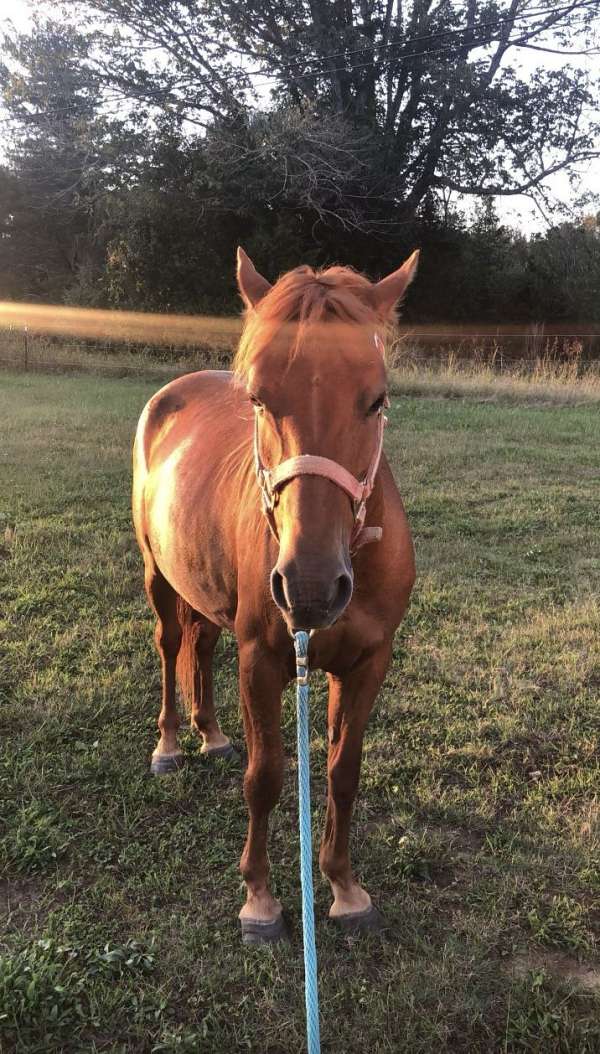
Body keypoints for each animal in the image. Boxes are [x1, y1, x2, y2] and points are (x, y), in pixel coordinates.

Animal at [132, 248, 415, 948]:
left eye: (377, 398)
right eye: (259, 398)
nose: (310, 587)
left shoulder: (367, 663)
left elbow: (343, 771)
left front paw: (343, 887)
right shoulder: (261, 660)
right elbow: (264, 779)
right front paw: (259, 899)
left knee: (202, 646)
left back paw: (211, 734)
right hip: (158, 575)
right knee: (171, 645)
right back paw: (171, 744)